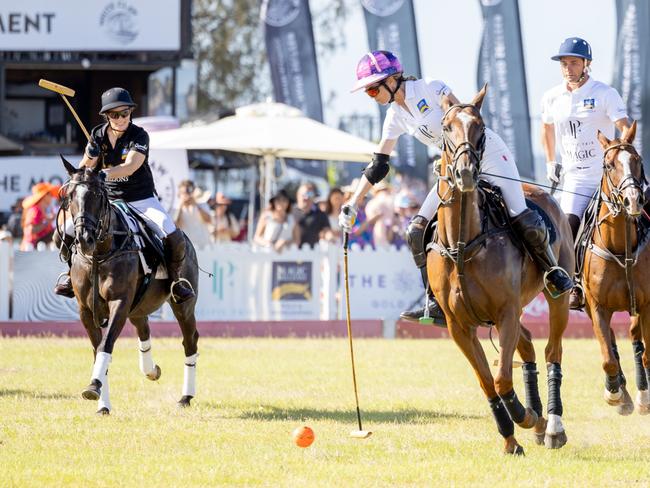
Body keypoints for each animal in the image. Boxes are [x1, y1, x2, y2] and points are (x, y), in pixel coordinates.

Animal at [58, 154, 200, 414]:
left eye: (97, 194)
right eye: (70, 196)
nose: (84, 239)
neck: (100, 253)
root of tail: (187, 239)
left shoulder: (120, 302)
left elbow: (106, 345)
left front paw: (93, 387)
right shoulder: (86, 310)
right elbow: (98, 351)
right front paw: (102, 404)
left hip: (182, 305)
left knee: (189, 340)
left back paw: (185, 397)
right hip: (138, 306)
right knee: (144, 330)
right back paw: (151, 370)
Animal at [426, 86, 572, 456]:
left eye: (480, 127)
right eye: (446, 127)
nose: (465, 172)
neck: (463, 243)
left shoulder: (505, 311)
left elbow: (503, 378)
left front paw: (525, 416)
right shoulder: (459, 326)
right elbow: (486, 382)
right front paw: (511, 439)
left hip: (555, 297)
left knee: (552, 352)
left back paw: (551, 426)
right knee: (529, 345)